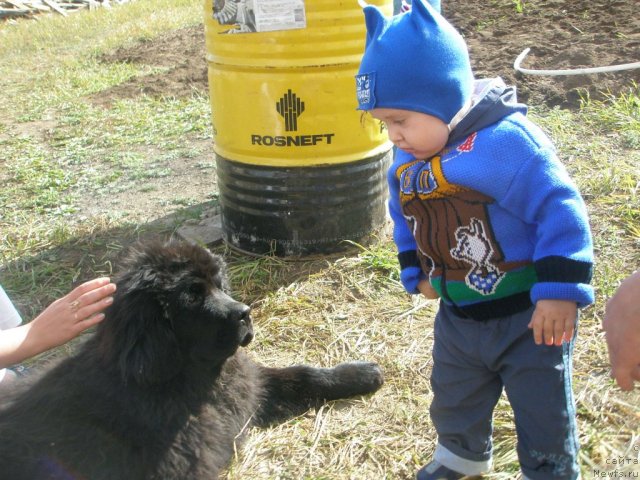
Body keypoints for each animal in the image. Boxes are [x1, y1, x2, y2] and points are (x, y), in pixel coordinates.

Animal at [0, 242, 382, 478]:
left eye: (219, 284)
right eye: (192, 297)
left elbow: (301, 375)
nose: (245, 313)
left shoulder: (247, 387)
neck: (193, 383)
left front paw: (360, 373)